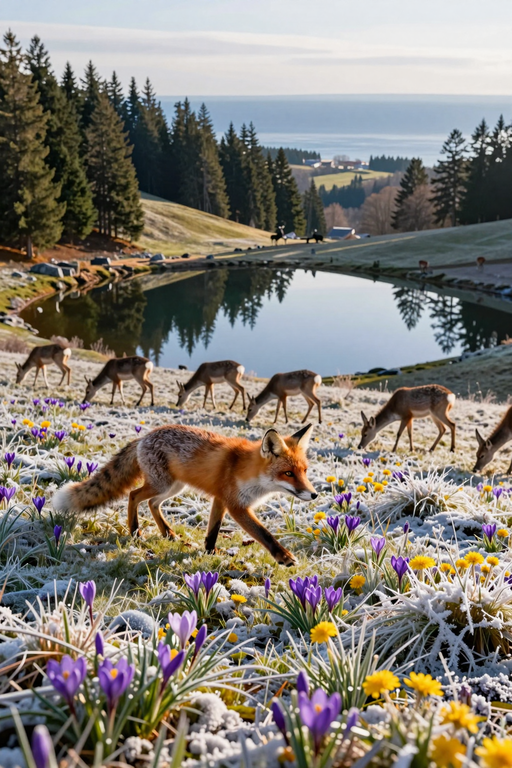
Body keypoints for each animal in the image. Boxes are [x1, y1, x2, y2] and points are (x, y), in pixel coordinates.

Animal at [52, 423, 317, 566]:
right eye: (288, 473)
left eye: (304, 471)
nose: (314, 495)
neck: (250, 472)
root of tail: (143, 437)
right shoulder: (236, 505)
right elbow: (264, 534)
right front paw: (283, 556)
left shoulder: (220, 499)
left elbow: (212, 531)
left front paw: (210, 552)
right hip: (162, 485)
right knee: (134, 496)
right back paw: (135, 531)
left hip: (174, 488)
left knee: (152, 503)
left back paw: (167, 532)